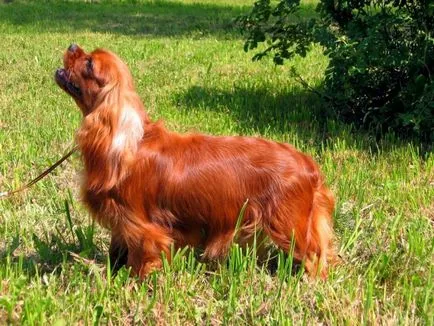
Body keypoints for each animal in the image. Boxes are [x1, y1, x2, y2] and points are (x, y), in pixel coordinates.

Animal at [55, 42, 340, 278]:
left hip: (288, 224)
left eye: (89, 64)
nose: (72, 45)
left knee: (314, 256)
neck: (130, 144)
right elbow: (117, 254)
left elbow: (141, 262)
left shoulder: (143, 229)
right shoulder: (122, 226)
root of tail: (309, 165)